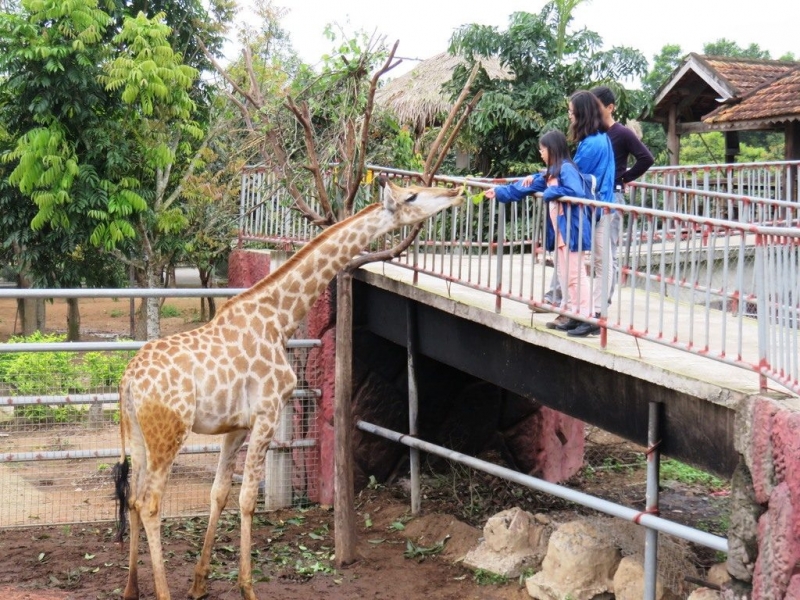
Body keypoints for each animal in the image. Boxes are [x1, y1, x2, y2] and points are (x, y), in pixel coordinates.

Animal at [111, 178, 462, 600]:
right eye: (412, 196)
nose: (456, 193)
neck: (280, 318)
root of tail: (129, 381)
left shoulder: (235, 426)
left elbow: (220, 493)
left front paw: (199, 583)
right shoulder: (267, 411)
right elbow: (247, 499)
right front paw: (247, 587)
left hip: (137, 434)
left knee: (132, 498)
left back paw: (131, 589)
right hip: (169, 433)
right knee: (150, 503)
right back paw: (161, 592)